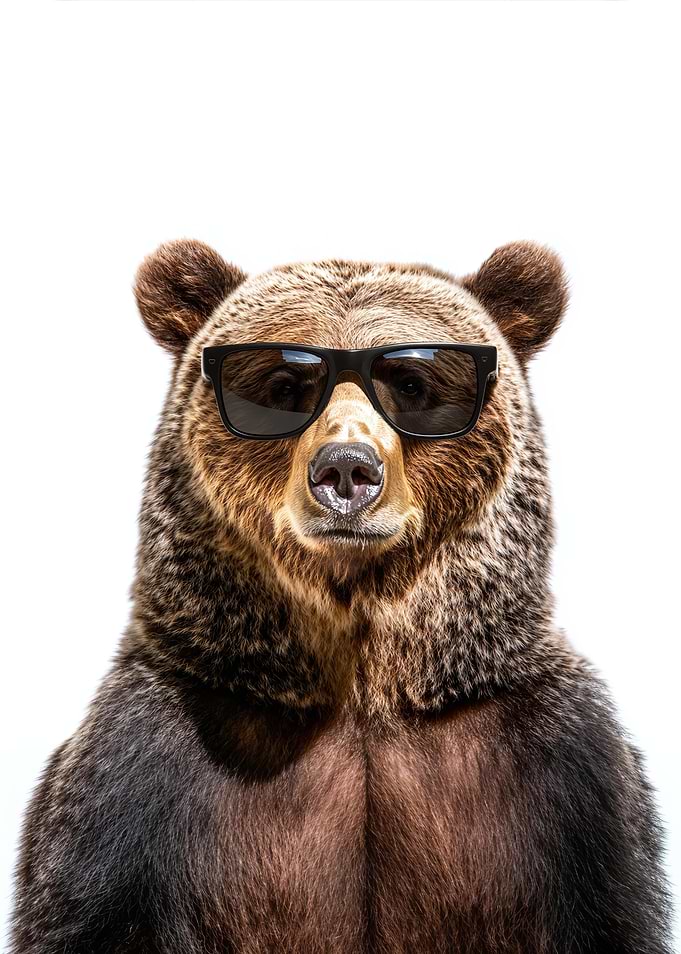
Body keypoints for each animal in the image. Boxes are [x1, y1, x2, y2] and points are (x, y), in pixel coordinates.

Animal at [10, 240, 672, 953]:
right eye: (283, 385)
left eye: (410, 384)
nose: (347, 469)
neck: (363, 686)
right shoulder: (142, 771)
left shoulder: (564, 784)